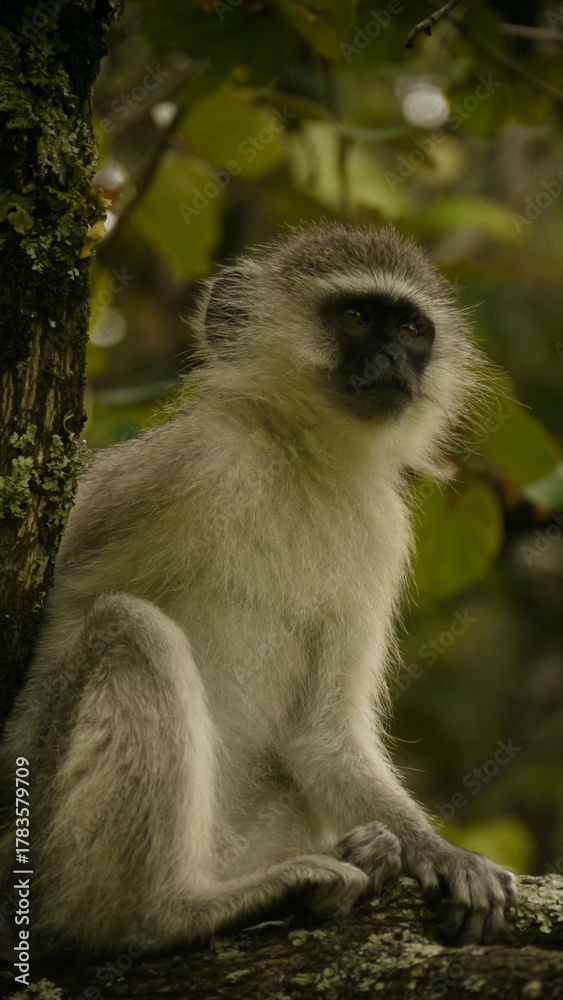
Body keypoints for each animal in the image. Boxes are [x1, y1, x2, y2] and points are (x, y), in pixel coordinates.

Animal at [0, 222, 516, 957]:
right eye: (355, 316)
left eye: (412, 328)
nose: (395, 358)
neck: (301, 460)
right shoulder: (180, 469)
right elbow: (57, 639)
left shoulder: (382, 531)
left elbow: (321, 734)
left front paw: (441, 855)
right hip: (65, 862)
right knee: (130, 630)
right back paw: (170, 912)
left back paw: (362, 856)